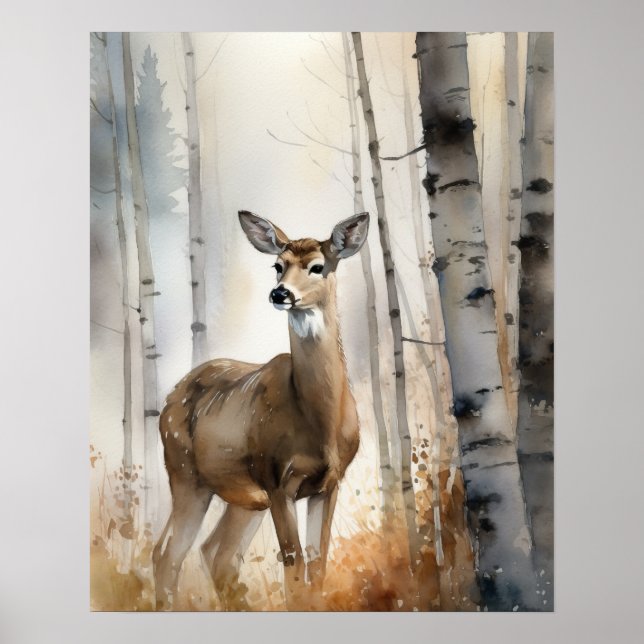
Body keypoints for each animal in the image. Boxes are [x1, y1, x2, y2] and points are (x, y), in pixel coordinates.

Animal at [153, 210, 370, 610]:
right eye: (277, 265)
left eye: (318, 266)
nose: (280, 292)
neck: (320, 426)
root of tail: (170, 397)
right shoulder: (277, 478)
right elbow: (293, 564)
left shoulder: (329, 483)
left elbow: (318, 563)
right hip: (185, 471)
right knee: (168, 553)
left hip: (243, 496)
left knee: (216, 554)